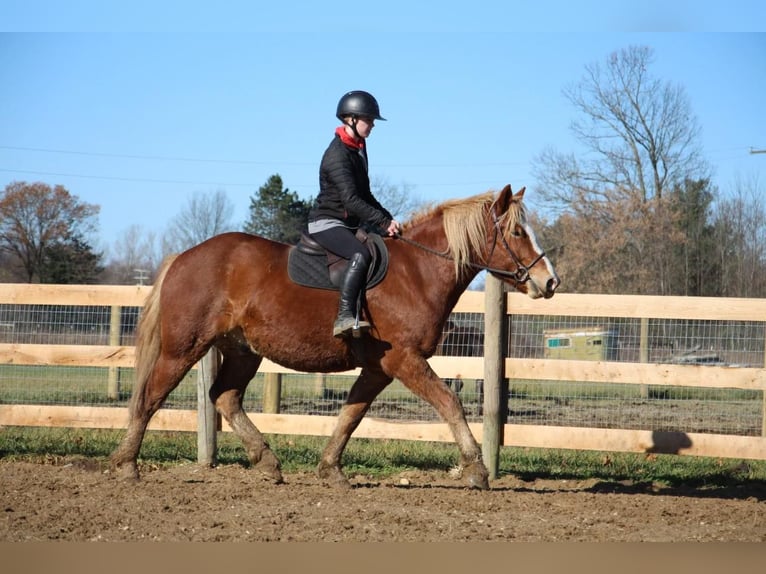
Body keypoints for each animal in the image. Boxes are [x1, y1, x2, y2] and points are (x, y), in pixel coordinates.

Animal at [111, 184, 560, 490]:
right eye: (517, 233)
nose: (550, 281)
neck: (416, 272)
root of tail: (184, 257)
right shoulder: (404, 360)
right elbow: (450, 402)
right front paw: (476, 469)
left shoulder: (379, 368)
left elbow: (351, 415)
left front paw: (330, 468)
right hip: (183, 348)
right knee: (150, 397)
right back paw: (127, 464)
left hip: (242, 351)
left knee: (224, 397)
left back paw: (267, 461)